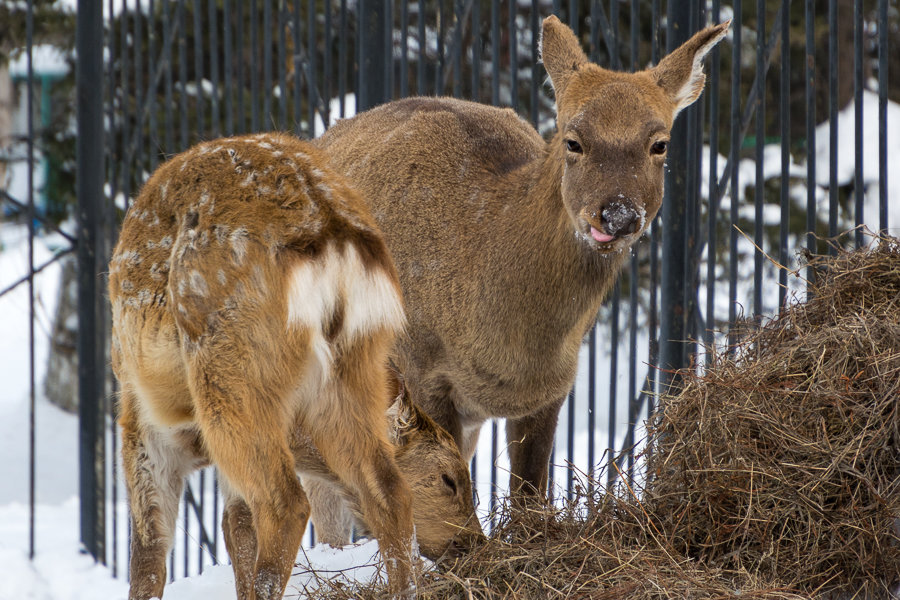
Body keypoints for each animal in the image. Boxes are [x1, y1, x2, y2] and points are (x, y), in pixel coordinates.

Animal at [108, 132, 478, 600]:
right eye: (449, 479)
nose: (477, 542)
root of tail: (335, 239)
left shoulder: (141, 420)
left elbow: (149, 552)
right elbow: (236, 529)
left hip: (233, 372)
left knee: (285, 503)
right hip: (356, 363)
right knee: (388, 489)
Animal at [316, 17, 732, 496]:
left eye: (659, 143)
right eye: (573, 141)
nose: (619, 213)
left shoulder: (552, 388)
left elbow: (530, 497)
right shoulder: (419, 367)